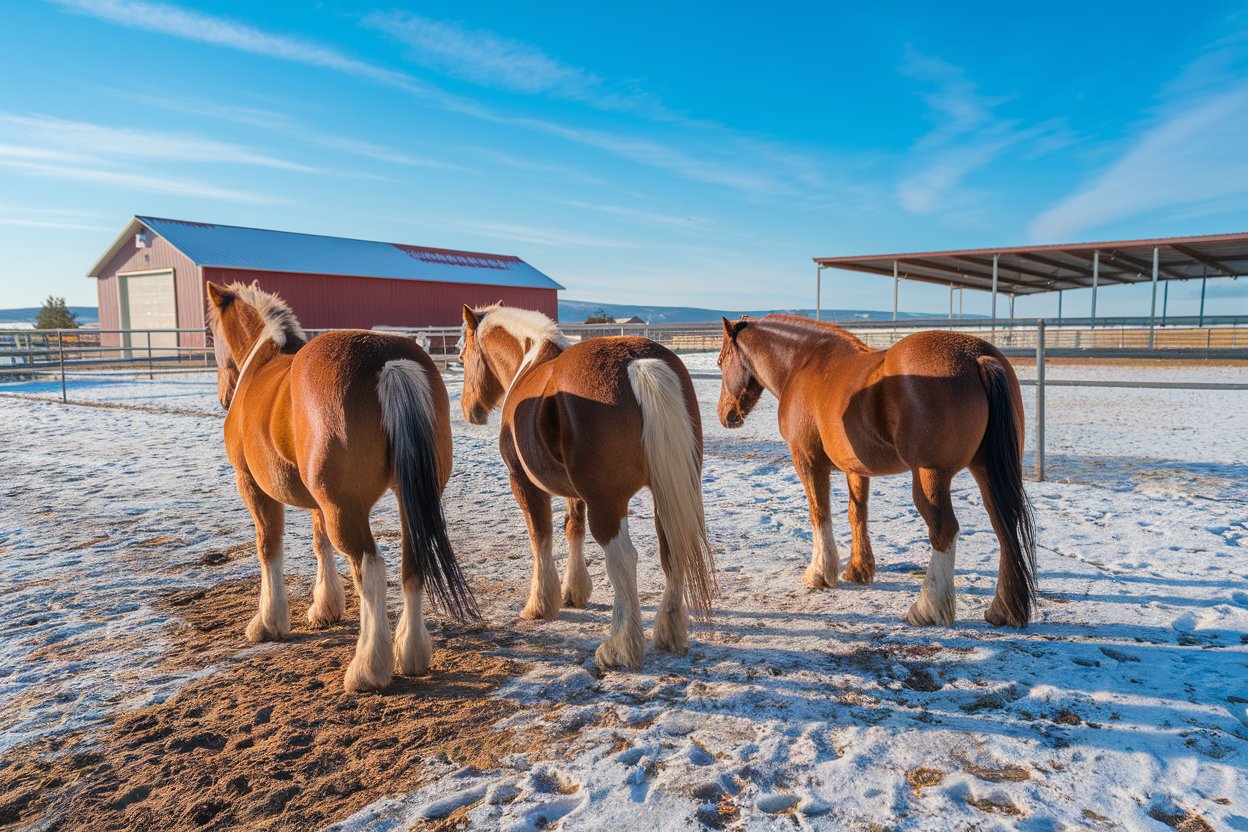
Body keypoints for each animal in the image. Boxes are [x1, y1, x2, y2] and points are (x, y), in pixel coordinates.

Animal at [205, 281, 477, 692]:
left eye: (211, 332)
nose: (223, 397)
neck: (263, 364)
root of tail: (388, 362)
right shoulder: (318, 502)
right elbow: (321, 545)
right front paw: (325, 608)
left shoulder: (253, 486)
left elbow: (268, 548)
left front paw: (269, 622)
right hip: (399, 499)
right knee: (412, 562)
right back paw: (411, 653)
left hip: (345, 509)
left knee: (371, 568)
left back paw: (368, 668)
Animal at [458, 304, 716, 669]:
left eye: (463, 353)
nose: (470, 410)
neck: (531, 359)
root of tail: (637, 363)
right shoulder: (575, 493)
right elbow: (573, 529)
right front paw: (575, 591)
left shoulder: (523, 483)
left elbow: (540, 537)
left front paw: (540, 604)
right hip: (667, 492)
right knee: (672, 548)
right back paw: (668, 633)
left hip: (607, 502)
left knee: (622, 558)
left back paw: (620, 647)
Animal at [716, 314, 1036, 628]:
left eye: (720, 361)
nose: (724, 415)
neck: (804, 362)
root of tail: (977, 357)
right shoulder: (856, 468)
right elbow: (857, 513)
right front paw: (859, 570)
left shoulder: (807, 460)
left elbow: (819, 511)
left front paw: (820, 573)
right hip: (986, 469)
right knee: (1004, 527)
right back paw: (1003, 611)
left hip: (930, 476)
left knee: (944, 530)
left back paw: (927, 610)